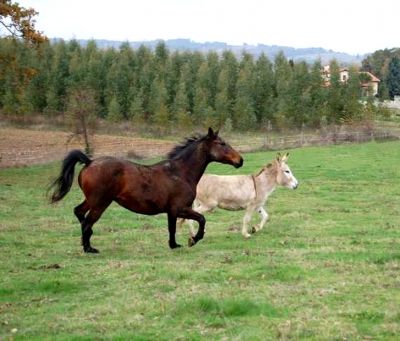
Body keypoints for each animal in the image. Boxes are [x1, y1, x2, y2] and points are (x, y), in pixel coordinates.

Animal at [48, 127, 242, 252]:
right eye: (222, 143)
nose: (240, 160)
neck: (179, 172)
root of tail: (89, 162)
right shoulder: (180, 208)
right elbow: (201, 219)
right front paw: (193, 240)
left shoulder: (172, 211)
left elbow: (172, 229)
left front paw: (174, 245)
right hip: (100, 203)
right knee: (87, 222)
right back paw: (89, 248)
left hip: (92, 201)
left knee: (79, 213)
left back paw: (85, 242)